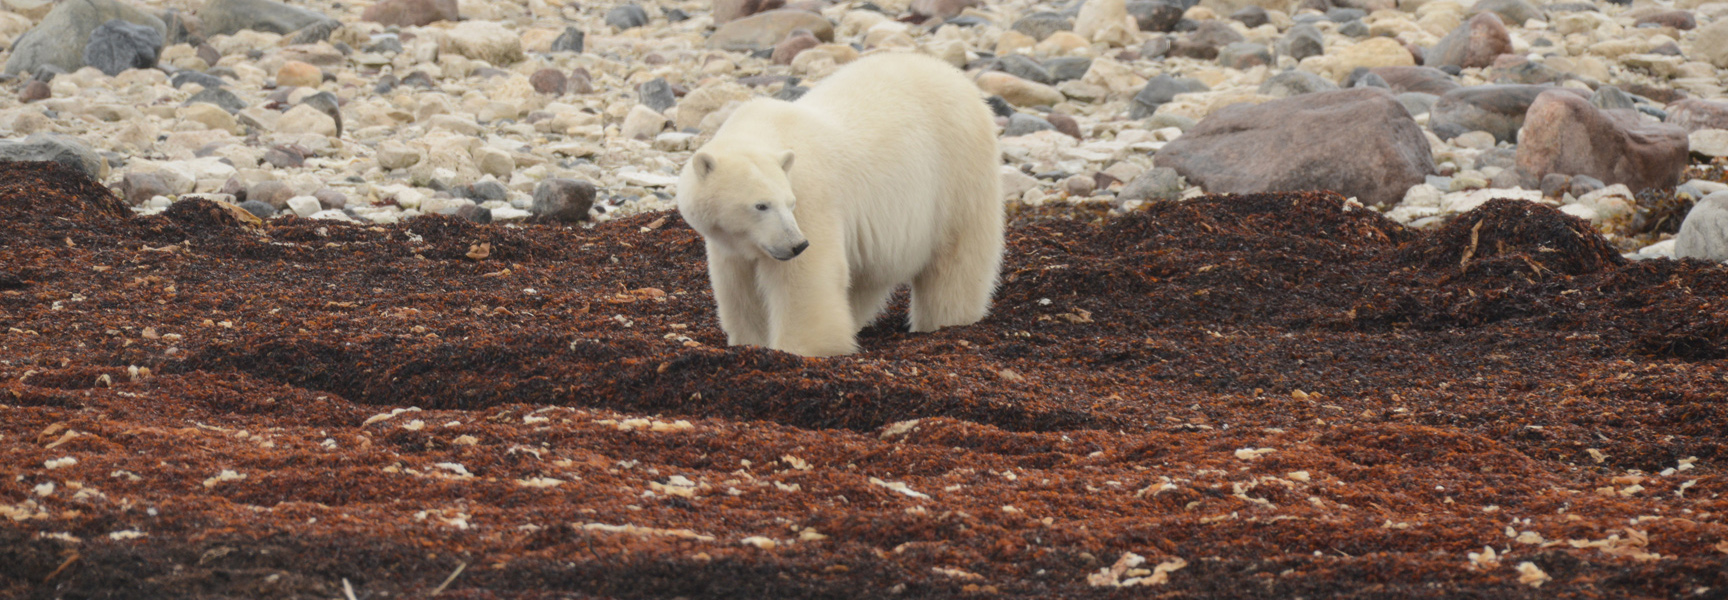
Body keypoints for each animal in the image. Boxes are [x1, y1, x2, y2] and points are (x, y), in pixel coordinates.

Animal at [676, 52, 1004, 357]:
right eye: (761, 206)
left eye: (790, 203)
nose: (797, 244)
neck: (763, 129)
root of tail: (962, 82)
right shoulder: (730, 244)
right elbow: (739, 287)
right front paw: (749, 343)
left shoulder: (812, 198)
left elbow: (806, 279)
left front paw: (800, 349)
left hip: (957, 175)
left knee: (956, 261)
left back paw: (944, 321)